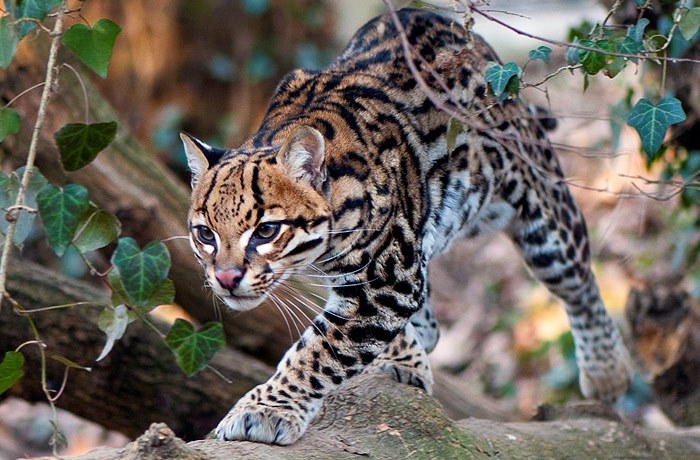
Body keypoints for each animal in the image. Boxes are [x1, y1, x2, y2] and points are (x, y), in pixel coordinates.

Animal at [180, 8, 636, 446]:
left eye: (266, 232)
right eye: (205, 235)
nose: (226, 278)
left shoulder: (387, 278)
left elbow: (318, 351)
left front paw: (265, 410)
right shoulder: (383, 278)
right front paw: (406, 359)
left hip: (543, 211)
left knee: (579, 283)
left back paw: (607, 372)